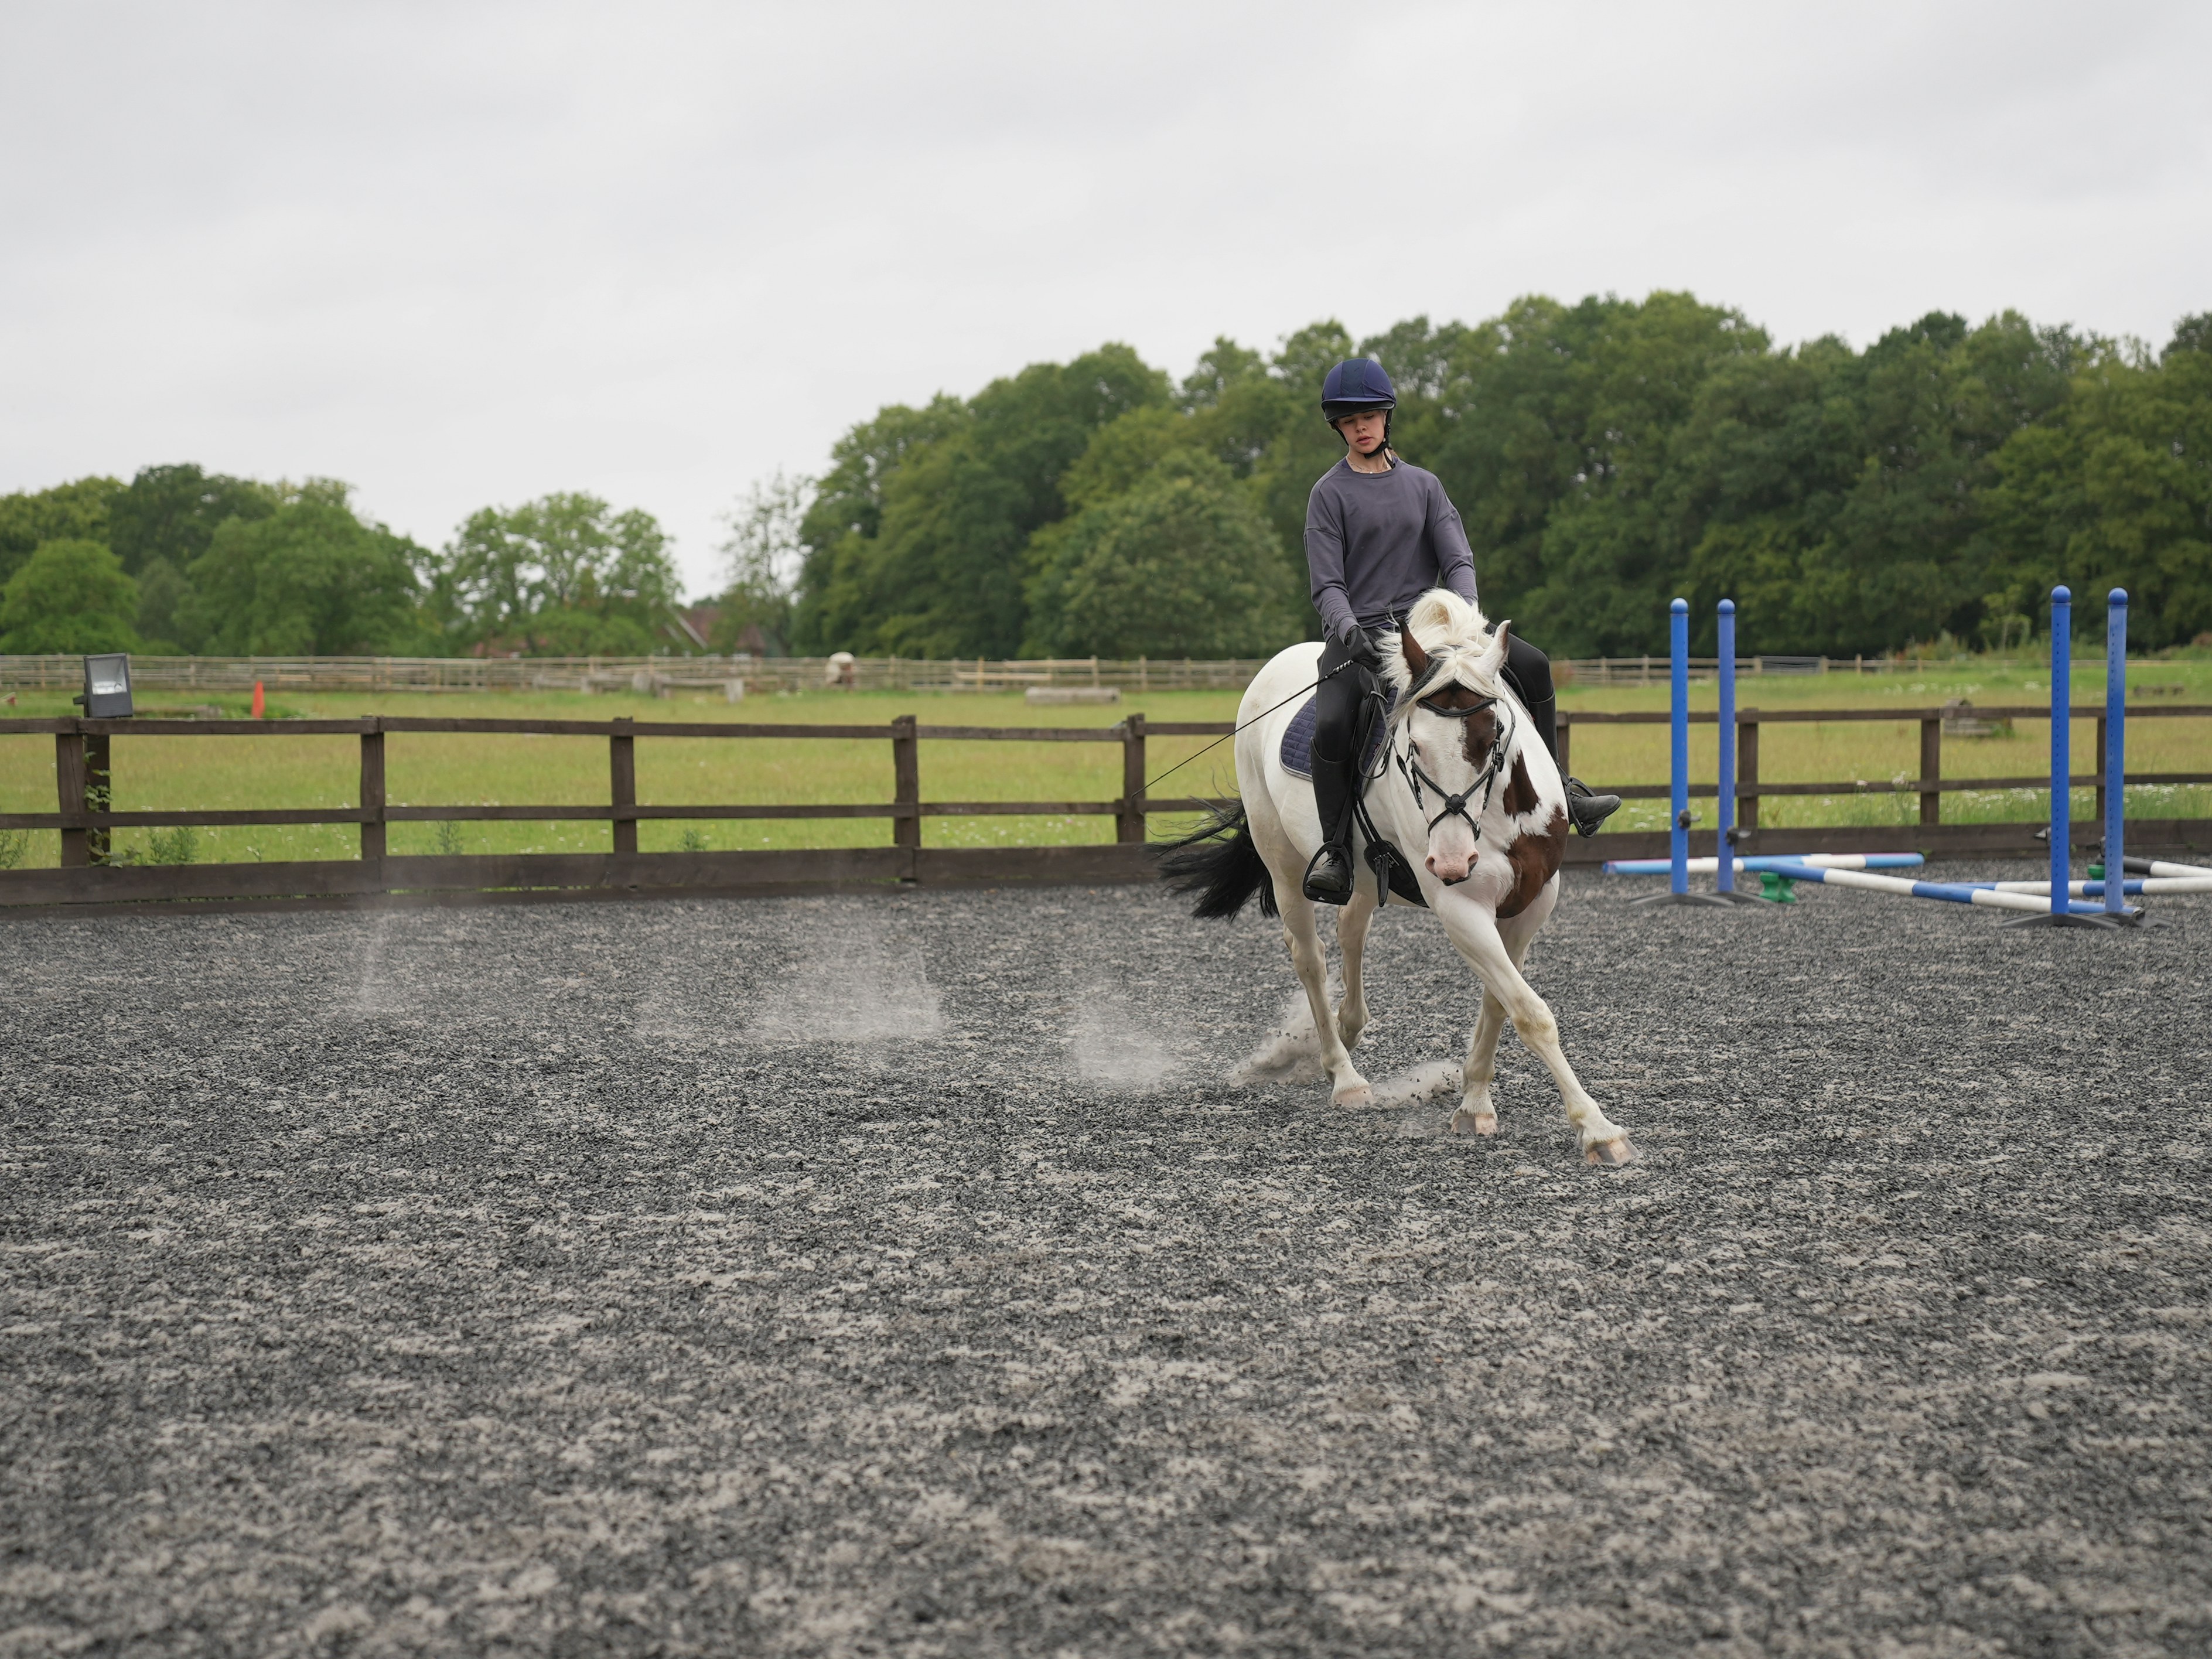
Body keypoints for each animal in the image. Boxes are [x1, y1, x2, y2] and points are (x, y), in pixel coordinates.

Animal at [1162, 589, 1636, 1165]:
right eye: (1412, 747)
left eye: (1492, 737)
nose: (1451, 863)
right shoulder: (1461, 908)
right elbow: (1529, 1012)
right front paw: (1598, 1130)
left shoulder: (1533, 901)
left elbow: (1500, 1002)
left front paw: (1474, 1103)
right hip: (1283, 864)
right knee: (1310, 959)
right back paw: (1344, 1075)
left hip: (1367, 875)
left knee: (1351, 930)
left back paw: (1349, 1029)